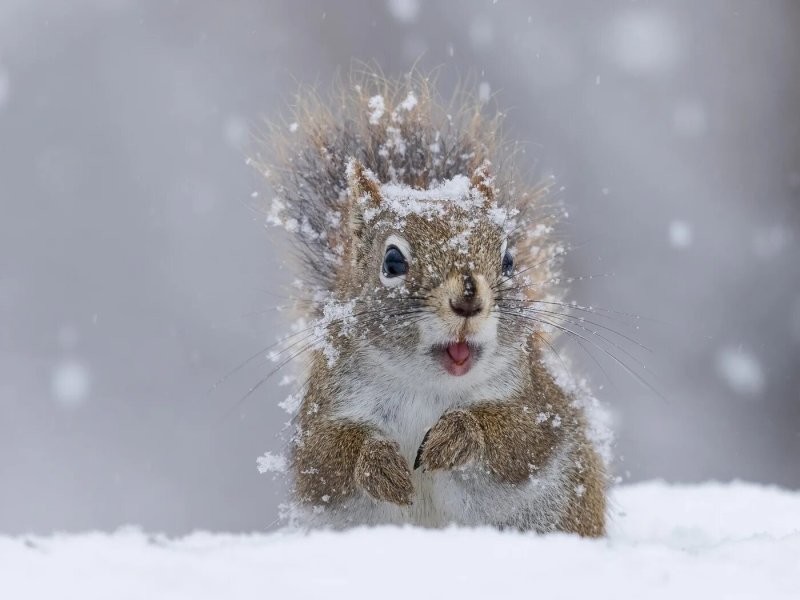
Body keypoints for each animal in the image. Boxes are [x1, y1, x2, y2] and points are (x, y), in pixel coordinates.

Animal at [256, 71, 608, 540]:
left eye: (508, 260)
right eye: (392, 261)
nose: (468, 298)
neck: (427, 388)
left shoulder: (540, 403)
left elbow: (522, 438)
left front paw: (460, 434)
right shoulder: (323, 411)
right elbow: (324, 460)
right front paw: (378, 462)